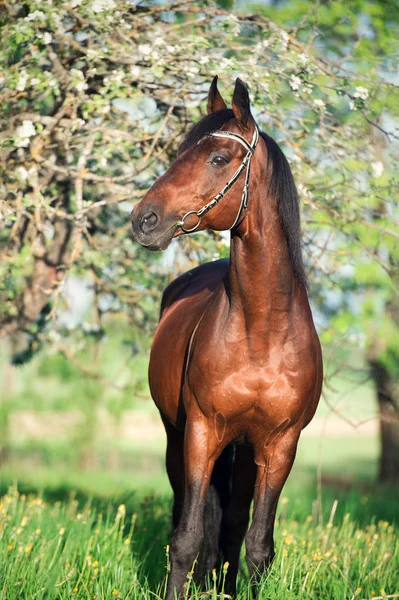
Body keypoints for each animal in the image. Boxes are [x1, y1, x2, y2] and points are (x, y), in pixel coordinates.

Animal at [131, 77, 322, 596]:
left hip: (245, 449)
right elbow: (187, 537)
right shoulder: (201, 433)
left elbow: (258, 545)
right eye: (180, 153)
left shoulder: (280, 446)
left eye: (218, 158)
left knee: (234, 524)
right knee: (187, 512)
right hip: (176, 438)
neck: (261, 331)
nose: (143, 220)